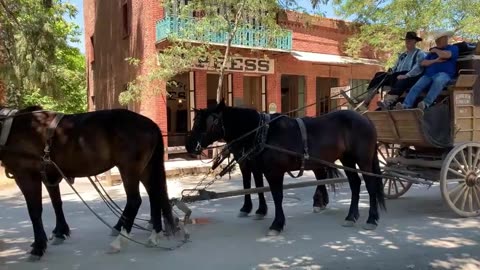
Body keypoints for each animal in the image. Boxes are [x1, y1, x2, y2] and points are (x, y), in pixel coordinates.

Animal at [0, 105, 175, 260]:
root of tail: (151, 125)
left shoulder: (26, 176)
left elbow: (35, 211)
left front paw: (38, 247)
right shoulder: (49, 174)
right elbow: (57, 203)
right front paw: (60, 232)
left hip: (129, 169)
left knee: (135, 200)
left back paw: (119, 241)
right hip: (145, 169)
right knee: (154, 195)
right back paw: (154, 234)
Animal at [186, 100, 384, 236]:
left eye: (207, 123)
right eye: (195, 121)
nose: (189, 146)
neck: (263, 133)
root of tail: (365, 118)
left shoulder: (274, 171)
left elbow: (277, 196)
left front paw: (276, 224)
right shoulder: (258, 167)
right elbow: (258, 188)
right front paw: (258, 211)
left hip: (363, 160)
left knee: (371, 185)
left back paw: (372, 218)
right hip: (347, 159)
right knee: (355, 184)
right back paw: (351, 216)